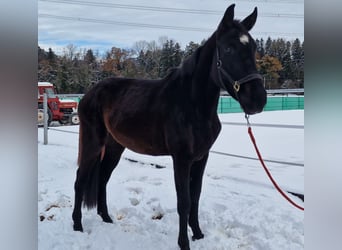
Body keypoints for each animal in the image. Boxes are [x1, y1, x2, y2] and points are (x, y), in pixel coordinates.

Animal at [72, 4, 268, 250]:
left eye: (253, 48)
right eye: (228, 49)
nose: (257, 100)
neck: (192, 105)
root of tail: (90, 93)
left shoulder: (201, 157)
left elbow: (195, 196)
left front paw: (198, 234)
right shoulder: (181, 159)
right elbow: (183, 201)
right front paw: (184, 243)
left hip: (115, 146)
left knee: (103, 178)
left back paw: (106, 218)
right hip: (93, 142)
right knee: (81, 179)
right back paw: (77, 226)